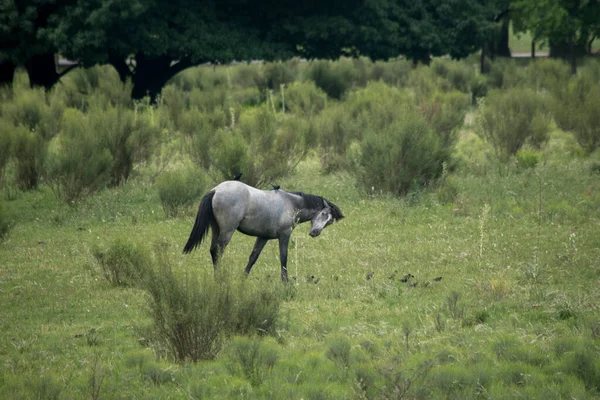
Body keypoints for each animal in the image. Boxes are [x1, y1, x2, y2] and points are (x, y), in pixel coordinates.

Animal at [182, 181, 342, 282]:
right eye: (323, 214)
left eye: (330, 222)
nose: (315, 232)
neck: (291, 203)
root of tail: (216, 190)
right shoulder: (284, 235)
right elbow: (284, 257)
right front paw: (285, 281)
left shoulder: (263, 237)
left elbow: (253, 257)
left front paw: (243, 278)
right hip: (227, 231)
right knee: (217, 250)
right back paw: (219, 278)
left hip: (217, 229)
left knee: (213, 250)